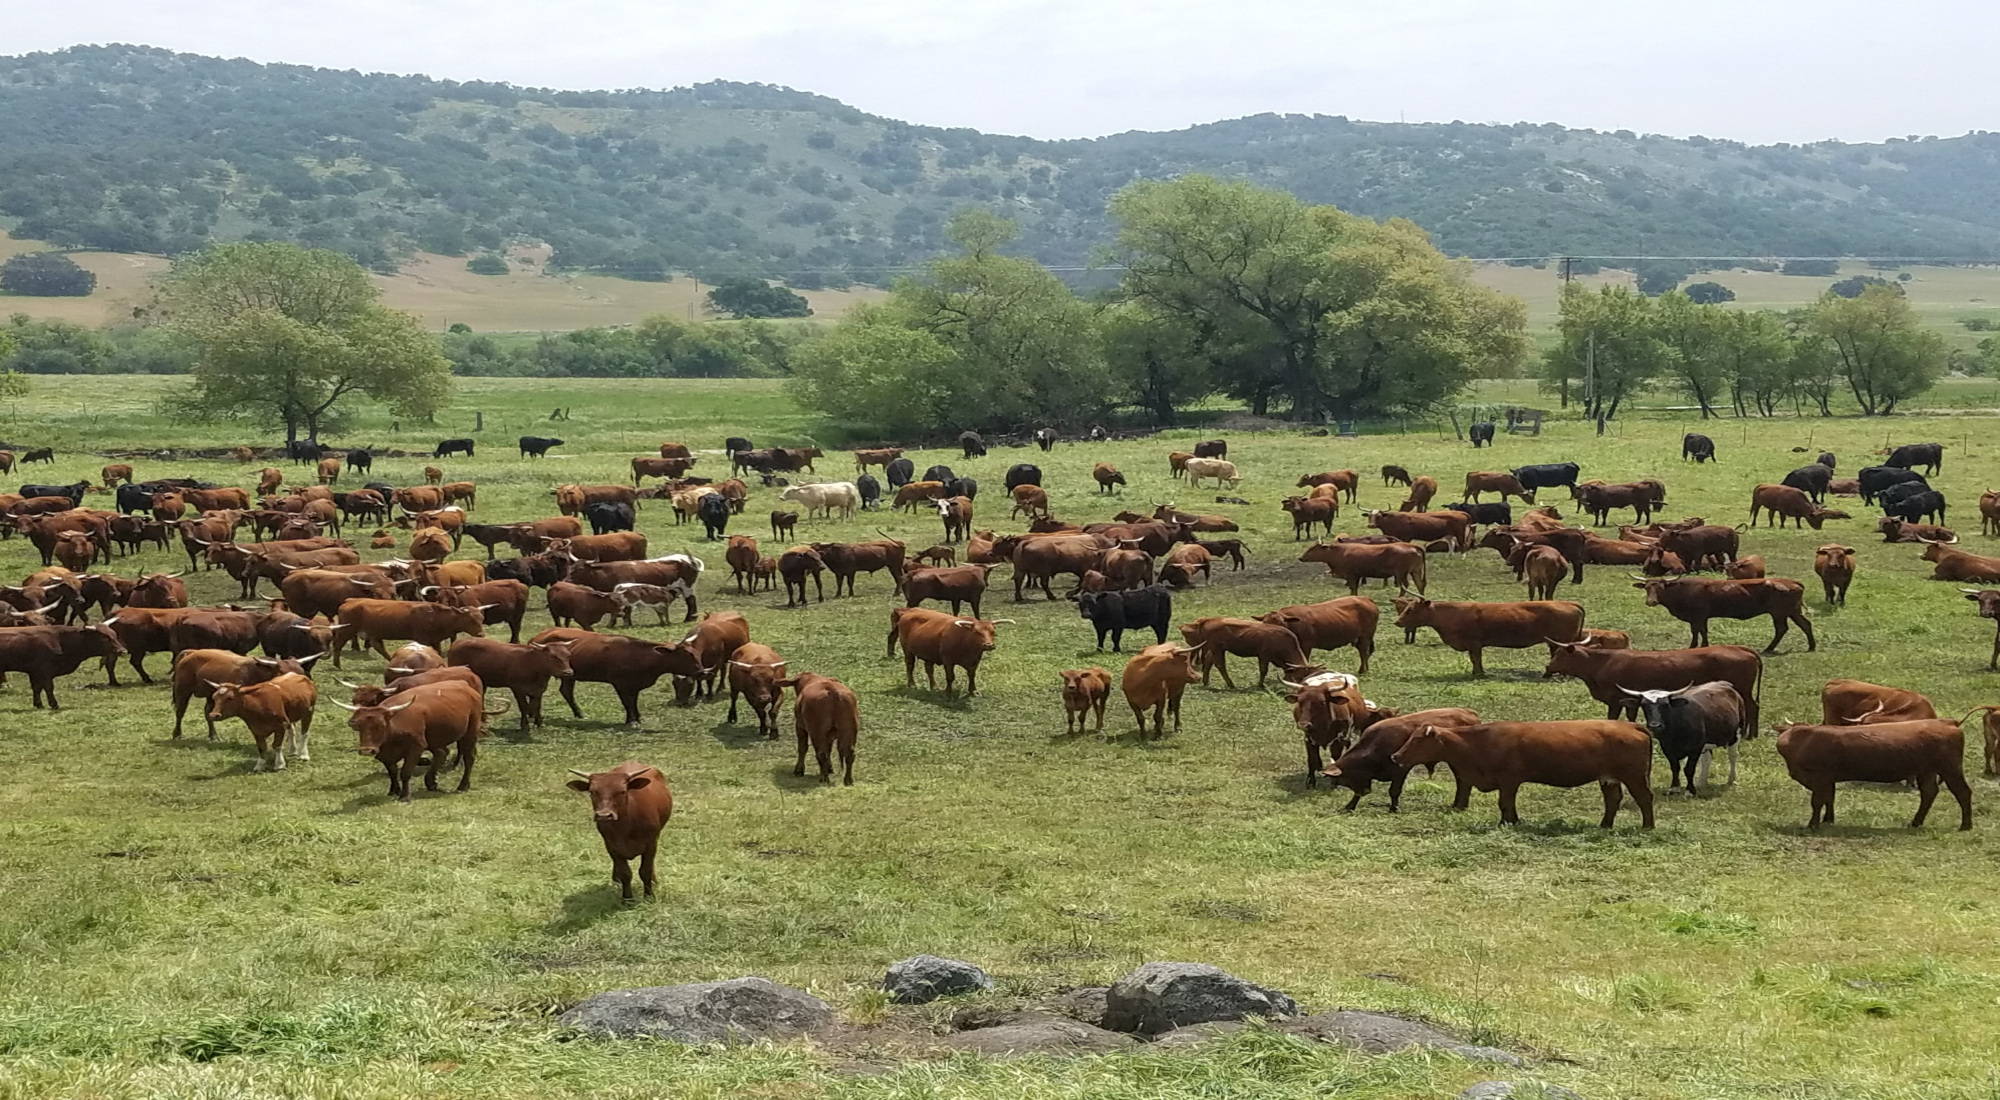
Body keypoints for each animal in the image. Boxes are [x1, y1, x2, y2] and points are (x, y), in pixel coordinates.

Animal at [568, 764, 676, 900]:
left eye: (622, 791)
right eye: (592, 792)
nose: (604, 815)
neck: (626, 828)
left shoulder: (651, 844)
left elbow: (645, 870)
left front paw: (649, 896)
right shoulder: (611, 846)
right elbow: (625, 873)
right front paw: (627, 898)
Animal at [1392, 720, 1656, 832]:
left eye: (1417, 739)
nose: (1396, 756)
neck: (1478, 742)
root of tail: (1630, 725)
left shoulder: (1508, 780)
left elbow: (1504, 803)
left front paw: (1505, 823)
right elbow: (1509, 804)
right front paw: (1514, 821)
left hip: (1634, 776)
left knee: (1644, 798)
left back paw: (1647, 826)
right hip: (1609, 778)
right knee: (1612, 800)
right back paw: (1604, 825)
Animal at [1776, 720, 1976, 832]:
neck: (1802, 741)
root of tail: (1948, 723)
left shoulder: (1820, 777)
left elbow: (1817, 801)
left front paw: (1813, 825)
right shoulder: (1828, 779)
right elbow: (1829, 798)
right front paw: (1828, 820)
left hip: (1950, 768)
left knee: (1962, 792)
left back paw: (1965, 825)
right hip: (1927, 771)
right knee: (1929, 793)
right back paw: (1915, 822)